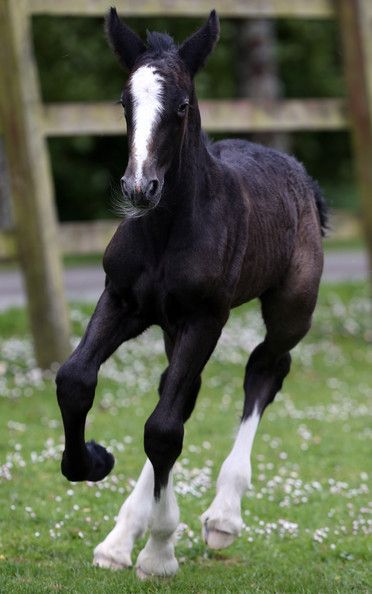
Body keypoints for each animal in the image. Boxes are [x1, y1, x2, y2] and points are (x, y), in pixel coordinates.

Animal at [55, 8, 326, 572]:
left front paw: (160, 550)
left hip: (291, 309)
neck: (166, 228)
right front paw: (93, 462)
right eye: (124, 103)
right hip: (172, 327)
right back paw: (119, 539)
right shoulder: (122, 301)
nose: (140, 189)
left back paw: (222, 517)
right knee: (181, 392)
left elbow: (163, 430)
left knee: (266, 368)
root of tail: (302, 178)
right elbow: (76, 380)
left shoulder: (206, 317)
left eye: (181, 106)